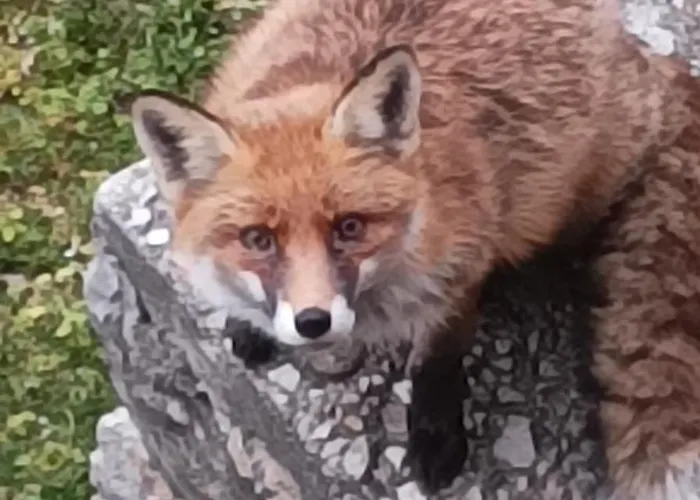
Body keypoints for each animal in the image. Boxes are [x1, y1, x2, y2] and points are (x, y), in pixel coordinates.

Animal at [120, 0, 700, 495]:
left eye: (349, 227)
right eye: (258, 239)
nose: (313, 323)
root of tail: (647, 60)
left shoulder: (460, 263)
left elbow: (436, 362)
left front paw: (434, 435)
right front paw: (249, 323)